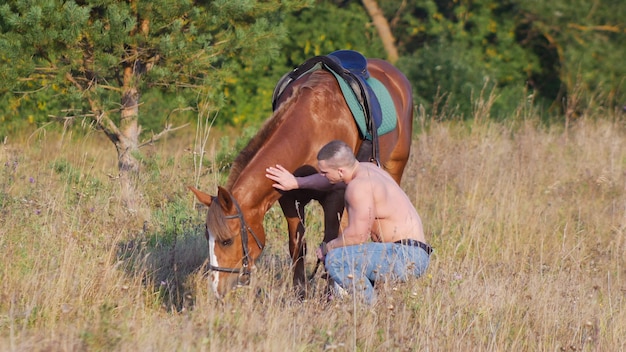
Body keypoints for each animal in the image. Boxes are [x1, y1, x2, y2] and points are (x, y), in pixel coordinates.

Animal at [188, 57, 412, 296]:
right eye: (207, 237)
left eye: (227, 241)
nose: (216, 288)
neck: (313, 126)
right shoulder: (289, 199)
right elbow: (298, 247)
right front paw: (300, 292)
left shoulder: (334, 199)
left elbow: (329, 242)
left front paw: (332, 293)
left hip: (394, 167)